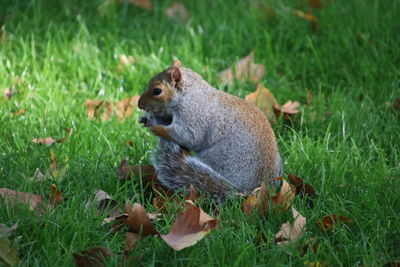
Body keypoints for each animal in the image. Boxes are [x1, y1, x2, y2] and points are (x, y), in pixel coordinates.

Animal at [139, 59, 282, 200]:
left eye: (157, 91)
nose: (139, 104)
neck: (190, 95)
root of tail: (247, 190)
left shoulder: (194, 119)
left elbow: (187, 137)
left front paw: (155, 127)